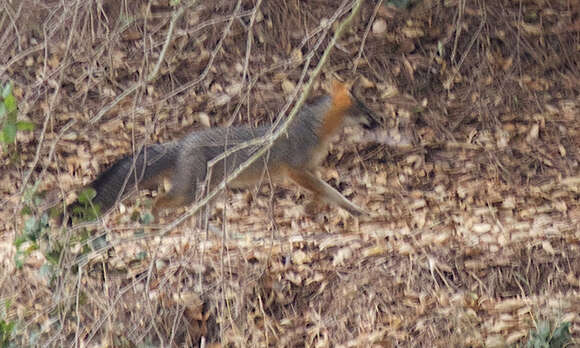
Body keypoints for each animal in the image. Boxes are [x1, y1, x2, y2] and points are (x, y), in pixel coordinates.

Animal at [63, 80, 378, 223]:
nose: (381, 121)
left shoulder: (309, 171)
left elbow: (327, 194)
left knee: (193, 214)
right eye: (367, 111)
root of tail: (182, 142)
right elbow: (329, 191)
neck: (316, 128)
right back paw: (156, 224)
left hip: (210, 193)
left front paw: (341, 209)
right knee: (158, 202)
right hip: (189, 192)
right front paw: (352, 209)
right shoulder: (296, 171)